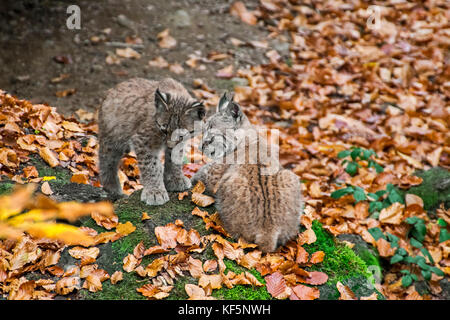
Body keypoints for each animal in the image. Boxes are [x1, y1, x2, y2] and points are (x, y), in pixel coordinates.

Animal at [99, 77, 207, 205]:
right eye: (164, 130)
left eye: (180, 135)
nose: (169, 145)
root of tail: (111, 89)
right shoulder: (142, 140)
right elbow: (150, 166)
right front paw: (155, 192)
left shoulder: (179, 144)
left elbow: (174, 159)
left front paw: (175, 179)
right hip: (112, 140)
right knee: (106, 163)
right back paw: (114, 191)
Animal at [191, 92, 302, 252]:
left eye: (211, 134)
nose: (199, 147)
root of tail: (269, 231)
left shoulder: (211, 175)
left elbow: (195, 177)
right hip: (290, 175)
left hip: (228, 182)